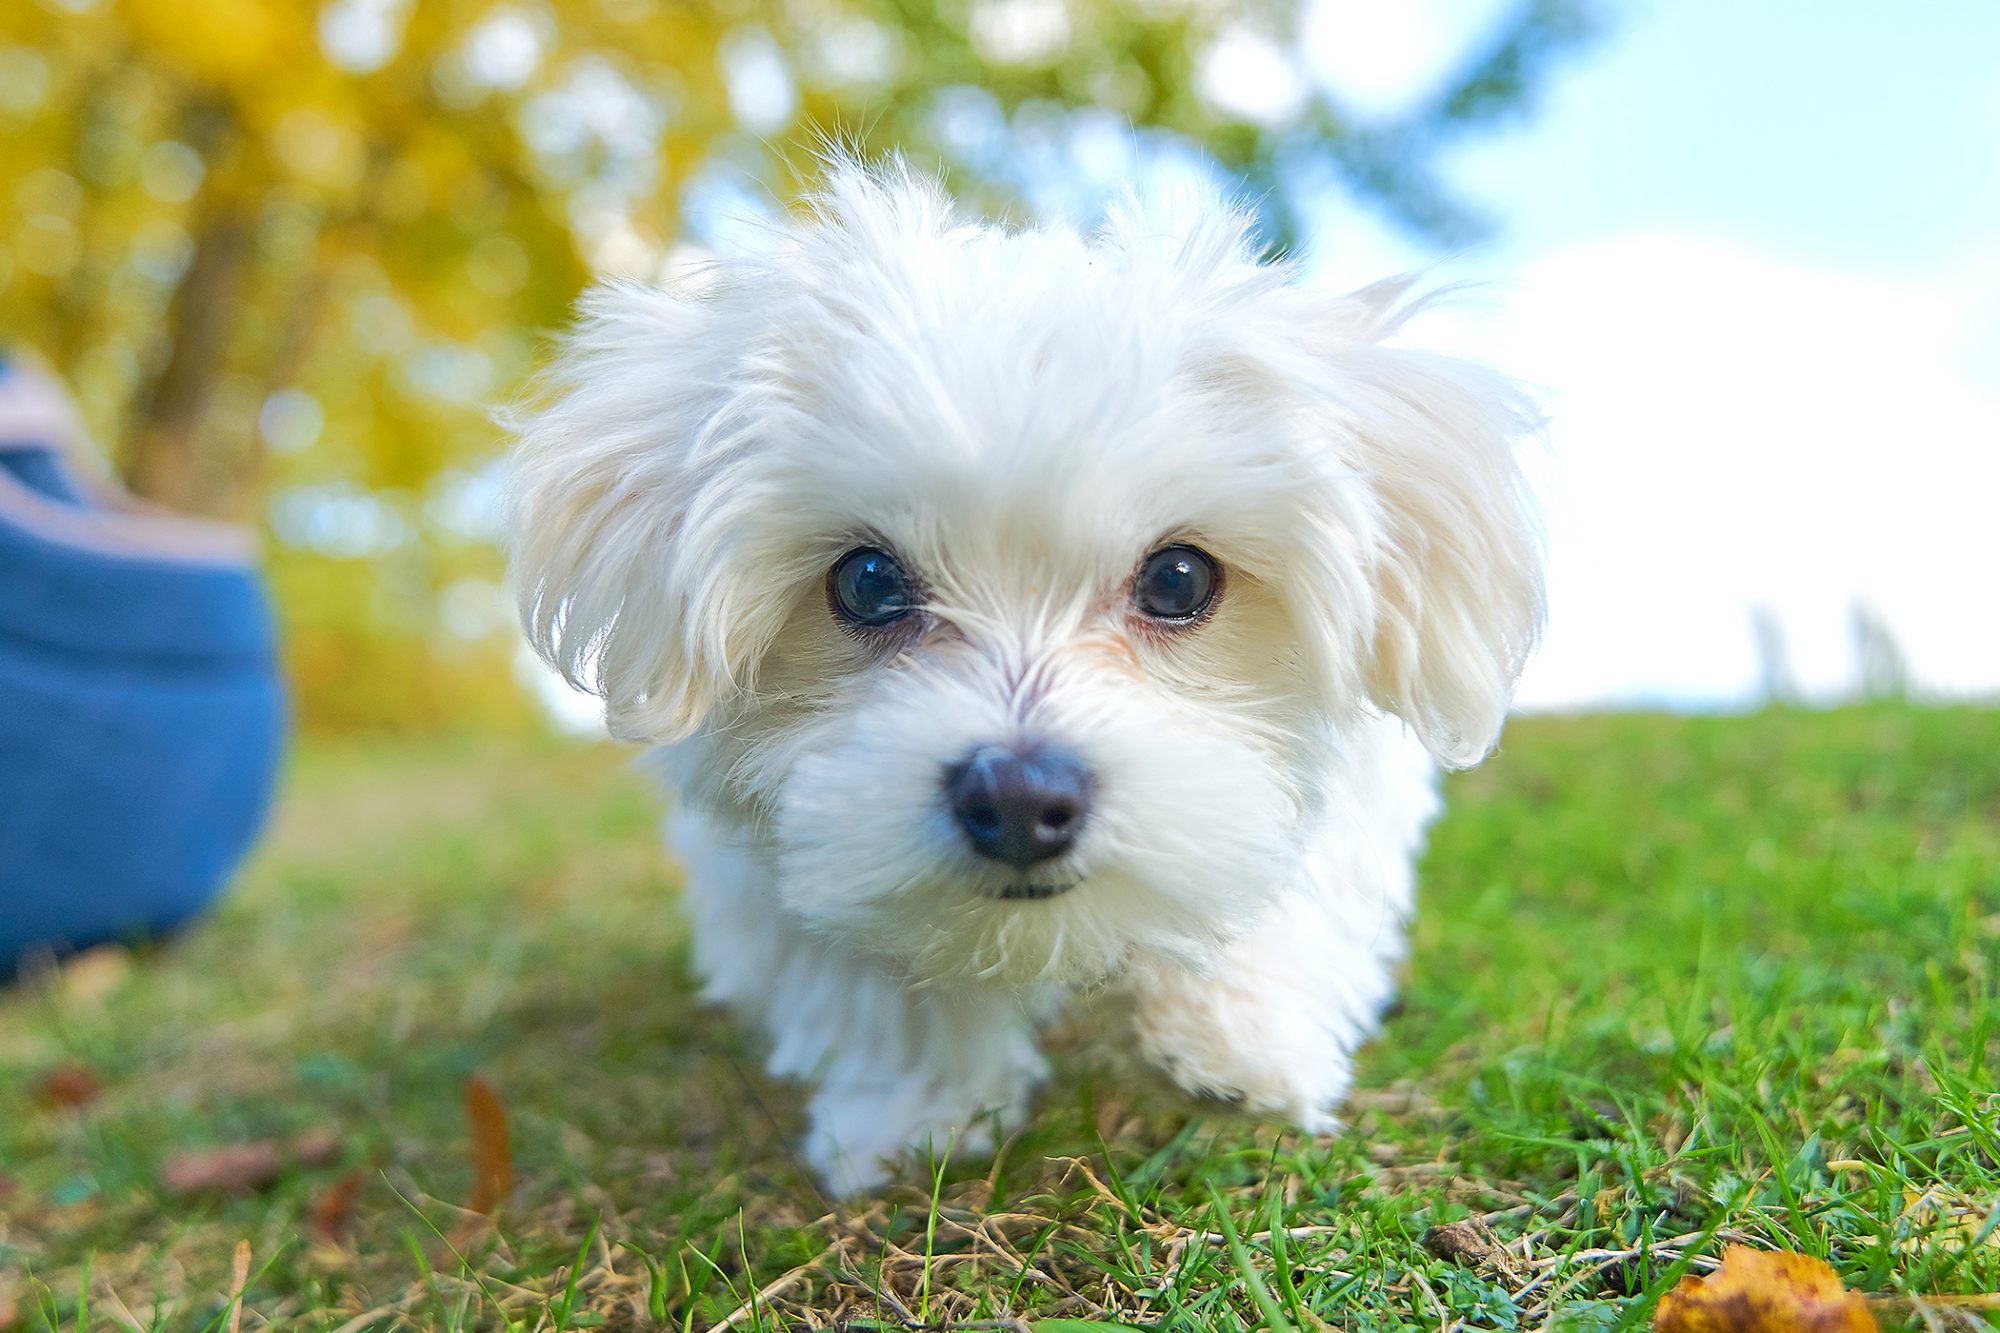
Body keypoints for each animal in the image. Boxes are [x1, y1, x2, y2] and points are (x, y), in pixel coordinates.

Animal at [500, 161, 1544, 1184]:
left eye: (1178, 577)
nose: (1017, 797)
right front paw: (915, 1111)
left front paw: (1236, 1042)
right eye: (868, 581)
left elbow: (1296, 864)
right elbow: (871, 968)